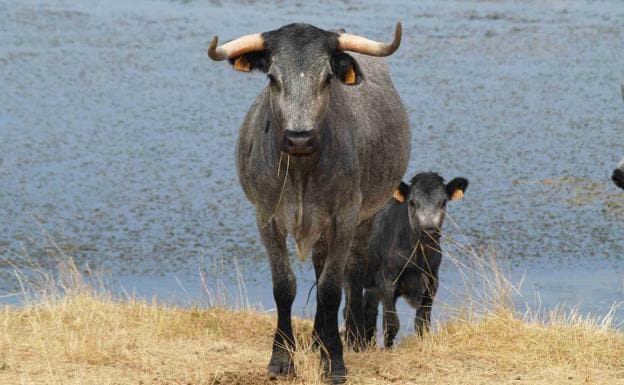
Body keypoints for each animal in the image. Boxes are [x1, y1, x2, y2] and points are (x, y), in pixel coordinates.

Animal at [207, 22, 412, 382]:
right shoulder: (266, 218)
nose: (299, 137)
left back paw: (353, 336)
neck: (302, 169)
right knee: (319, 263)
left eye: (327, 78)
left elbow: (331, 287)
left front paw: (335, 360)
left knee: (352, 269)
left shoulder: (344, 217)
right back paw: (318, 338)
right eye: (272, 78)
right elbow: (284, 286)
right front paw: (281, 359)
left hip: (365, 216)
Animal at [360, 172, 468, 346]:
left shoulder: (432, 282)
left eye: (443, 202)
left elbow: (422, 324)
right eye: (412, 202)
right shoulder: (387, 282)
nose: (429, 231)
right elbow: (391, 324)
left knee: (367, 309)